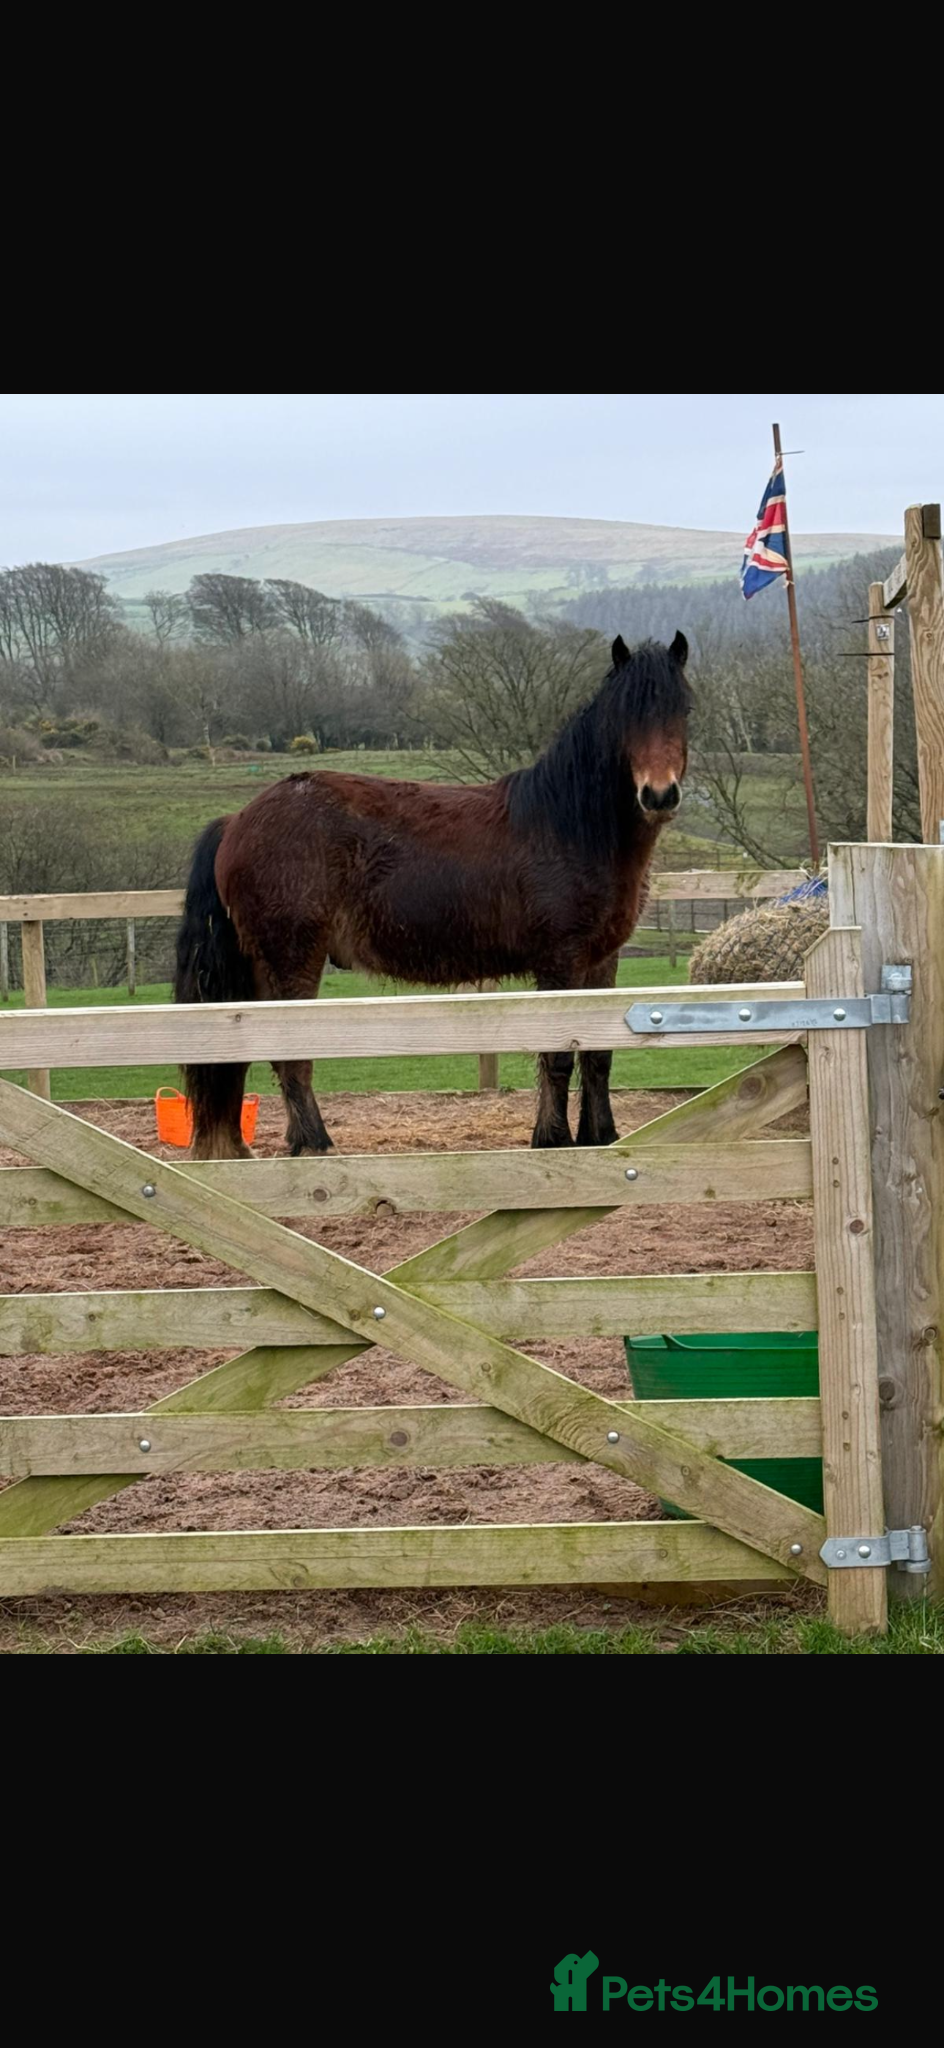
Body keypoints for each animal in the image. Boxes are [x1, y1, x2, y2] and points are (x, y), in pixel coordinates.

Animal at [174, 631, 691, 1158]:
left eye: (684, 709)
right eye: (624, 714)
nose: (659, 794)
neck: (568, 826)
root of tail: (238, 820)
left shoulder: (602, 959)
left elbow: (598, 1053)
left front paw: (599, 1136)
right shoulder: (560, 960)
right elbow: (558, 1056)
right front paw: (553, 1140)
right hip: (292, 959)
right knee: (289, 1056)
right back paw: (315, 1145)